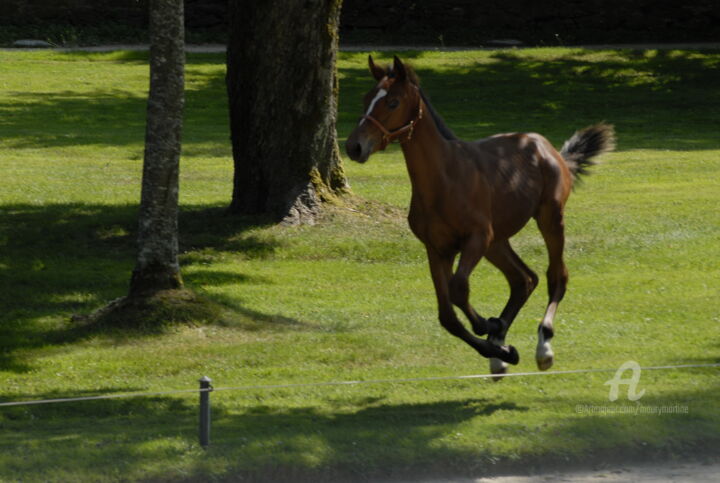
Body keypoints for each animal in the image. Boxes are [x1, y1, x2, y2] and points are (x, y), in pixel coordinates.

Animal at [346, 54, 616, 376]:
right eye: (365, 99)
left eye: (392, 102)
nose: (354, 146)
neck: (444, 178)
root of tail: (548, 149)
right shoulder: (437, 248)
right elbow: (447, 315)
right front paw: (502, 346)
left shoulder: (476, 238)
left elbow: (459, 289)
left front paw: (488, 325)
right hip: (497, 242)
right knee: (524, 279)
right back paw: (500, 349)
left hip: (548, 218)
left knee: (556, 276)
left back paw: (543, 346)